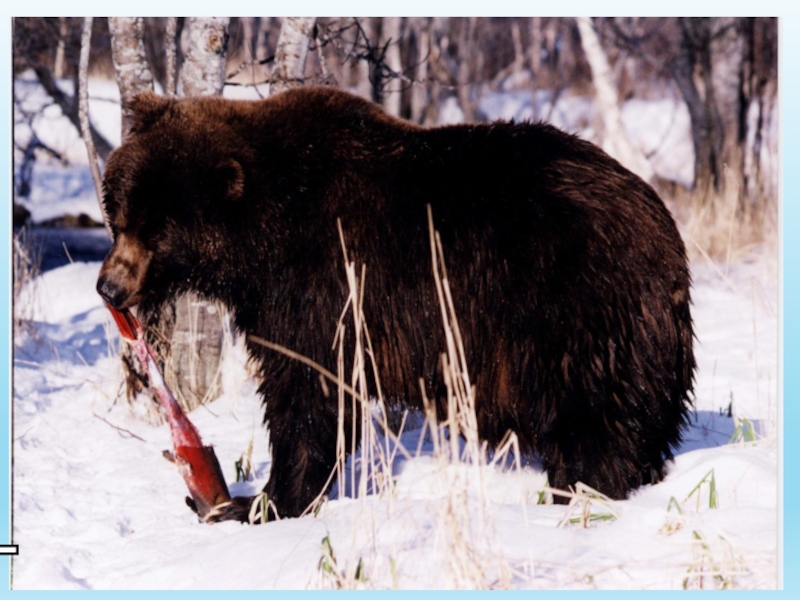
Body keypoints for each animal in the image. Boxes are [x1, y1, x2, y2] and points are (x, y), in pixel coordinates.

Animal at [95, 86, 692, 524]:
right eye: (118, 215)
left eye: (158, 230)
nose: (109, 287)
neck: (262, 241)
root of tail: (664, 233)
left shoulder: (327, 284)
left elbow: (310, 394)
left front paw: (260, 501)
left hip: (572, 306)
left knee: (591, 417)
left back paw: (577, 491)